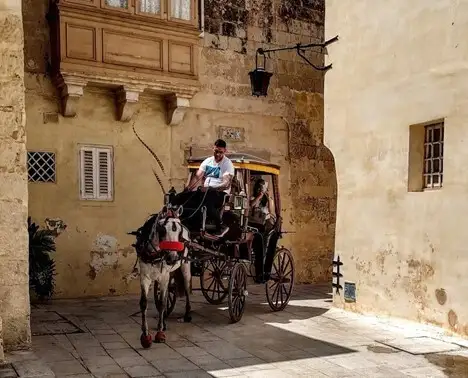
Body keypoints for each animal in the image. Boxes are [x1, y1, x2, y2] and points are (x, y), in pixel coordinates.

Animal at [130, 205, 192, 350]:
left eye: (179, 231)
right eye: (162, 229)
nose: (173, 258)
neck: (156, 253)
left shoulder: (164, 277)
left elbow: (163, 302)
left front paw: (159, 333)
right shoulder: (145, 277)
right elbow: (144, 303)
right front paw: (145, 336)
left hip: (185, 266)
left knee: (187, 288)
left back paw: (187, 315)